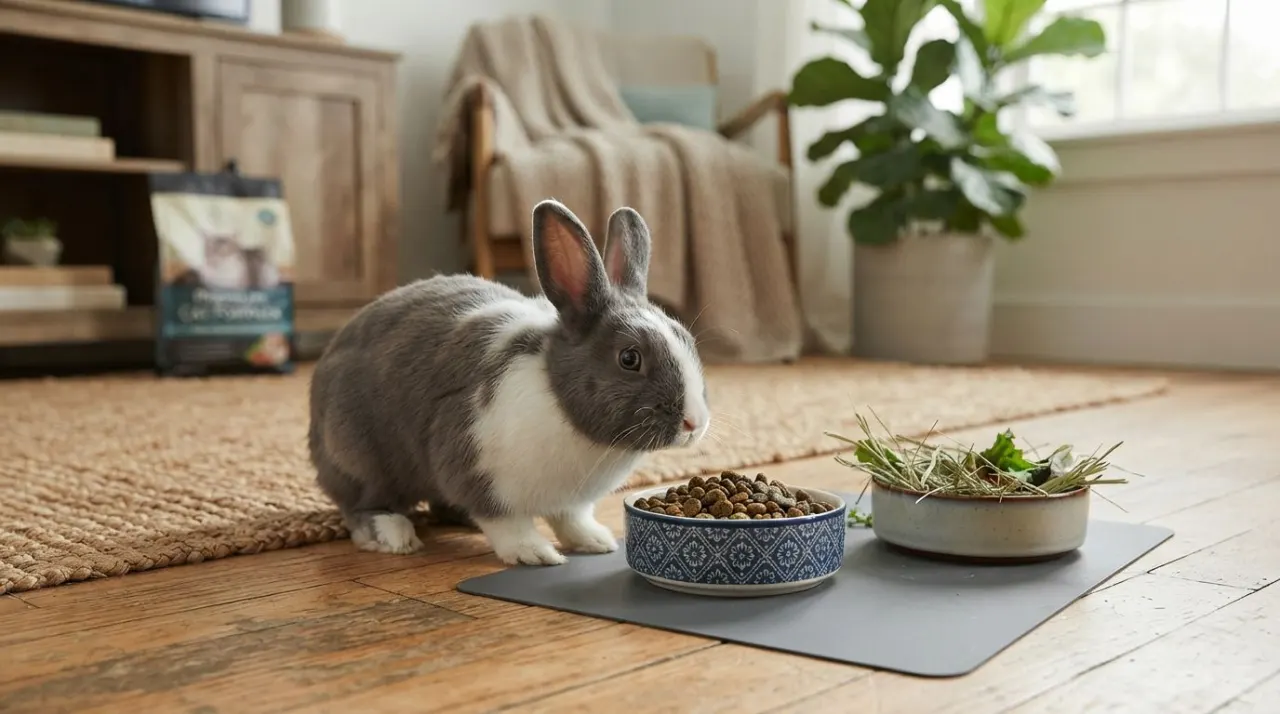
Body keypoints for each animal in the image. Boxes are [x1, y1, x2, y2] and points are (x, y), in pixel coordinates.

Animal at [307, 199, 711, 566]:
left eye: (687, 340)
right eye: (629, 359)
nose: (694, 423)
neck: (558, 399)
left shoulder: (571, 501)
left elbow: (571, 520)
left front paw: (596, 542)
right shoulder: (475, 469)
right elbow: (506, 523)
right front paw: (534, 553)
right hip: (359, 456)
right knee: (362, 507)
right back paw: (395, 535)